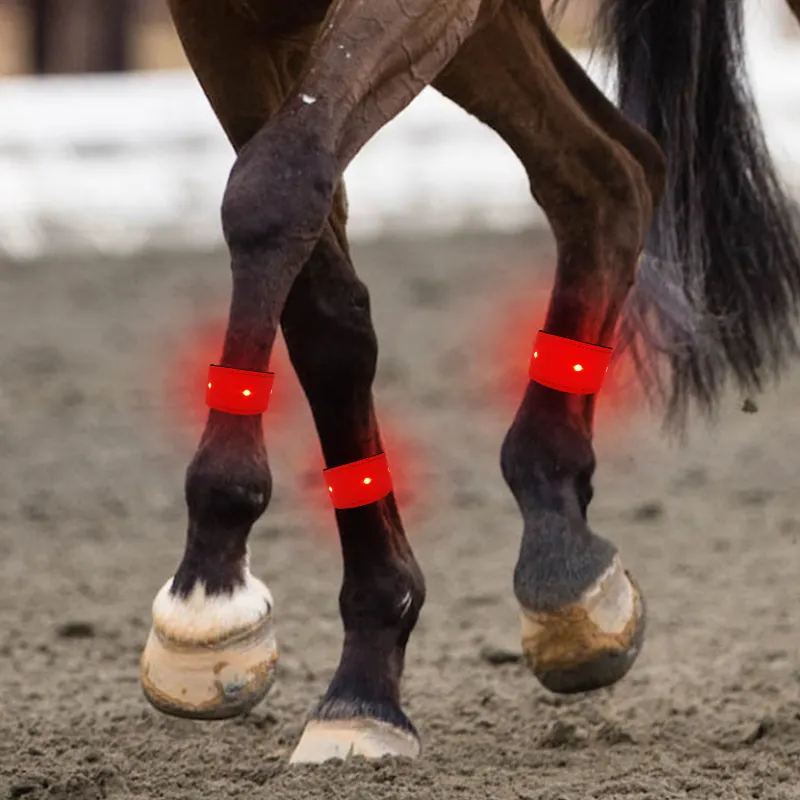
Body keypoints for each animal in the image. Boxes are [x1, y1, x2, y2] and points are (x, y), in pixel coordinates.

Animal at [138, 0, 800, 764]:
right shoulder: (221, 26)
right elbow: (324, 317)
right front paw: (363, 678)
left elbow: (274, 189)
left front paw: (211, 588)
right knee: (610, 177)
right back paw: (562, 556)